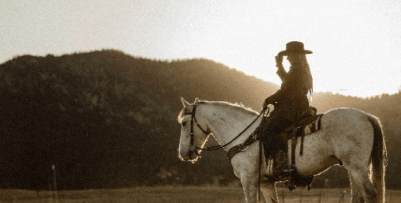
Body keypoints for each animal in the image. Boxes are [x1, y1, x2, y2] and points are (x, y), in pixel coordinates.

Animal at [177, 97, 386, 202]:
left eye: (184, 123)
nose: (183, 153)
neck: (244, 135)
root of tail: (366, 116)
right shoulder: (265, 183)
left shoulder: (248, 180)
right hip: (354, 168)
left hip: (357, 167)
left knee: (370, 194)